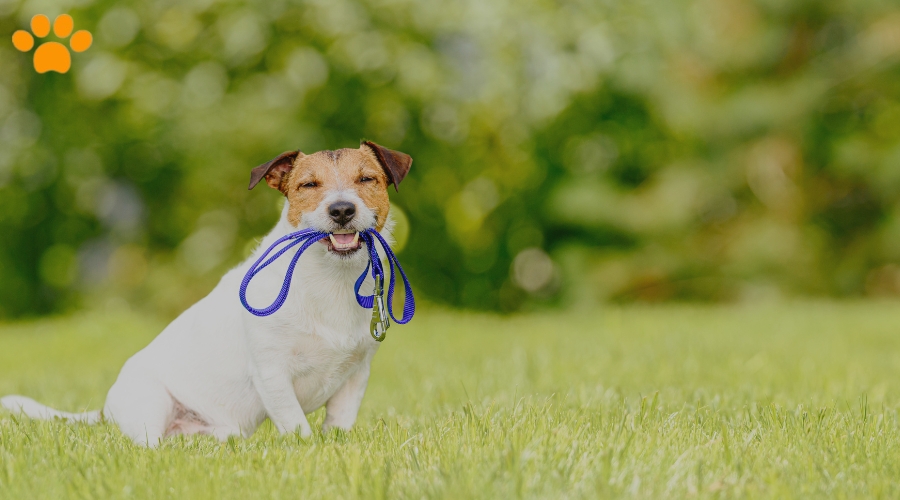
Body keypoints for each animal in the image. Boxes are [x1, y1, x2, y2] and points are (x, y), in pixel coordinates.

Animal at [0, 140, 414, 446]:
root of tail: (108, 409)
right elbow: (296, 424)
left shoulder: (356, 373)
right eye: (308, 185)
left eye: (367, 179)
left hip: (223, 431)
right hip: (151, 403)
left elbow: (339, 423)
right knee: (149, 445)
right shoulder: (271, 371)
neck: (330, 279)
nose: (342, 209)